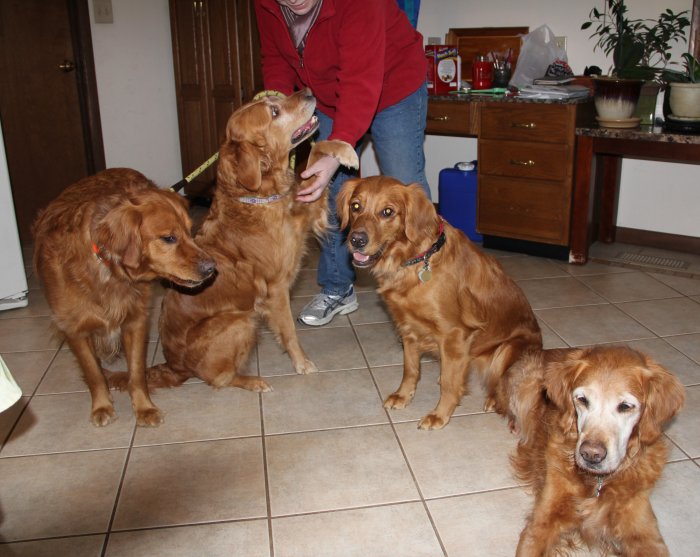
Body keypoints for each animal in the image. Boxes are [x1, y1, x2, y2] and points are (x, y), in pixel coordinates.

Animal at [33, 169, 213, 426]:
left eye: (190, 231)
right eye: (168, 238)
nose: (212, 269)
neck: (107, 268)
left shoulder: (135, 321)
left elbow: (136, 372)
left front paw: (144, 408)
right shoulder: (74, 328)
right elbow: (93, 372)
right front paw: (102, 406)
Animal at [110, 88, 360, 390]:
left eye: (276, 100)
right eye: (274, 111)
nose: (308, 91)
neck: (255, 196)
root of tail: (173, 365)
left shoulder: (305, 208)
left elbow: (317, 152)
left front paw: (345, 151)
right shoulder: (275, 288)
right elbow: (288, 331)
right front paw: (301, 363)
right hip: (241, 320)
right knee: (218, 378)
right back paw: (253, 381)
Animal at [336, 176, 544, 428]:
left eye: (387, 212)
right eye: (355, 206)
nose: (356, 240)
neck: (416, 259)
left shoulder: (455, 333)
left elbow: (449, 382)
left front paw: (440, 413)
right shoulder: (407, 328)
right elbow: (411, 369)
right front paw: (403, 395)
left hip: (508, 348)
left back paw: (495, 399)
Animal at [506, 346, 688, 552]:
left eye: (625, 406)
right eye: (582, 399)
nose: (591, 454)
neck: (598, 483)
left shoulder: (643, 529)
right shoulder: (540, 523)